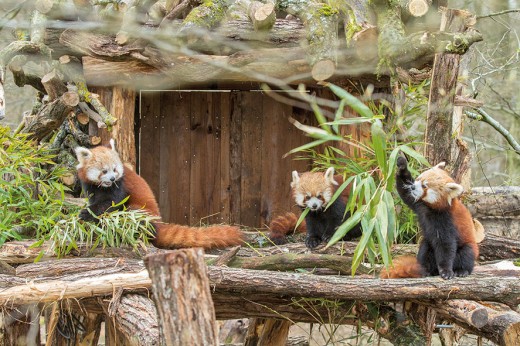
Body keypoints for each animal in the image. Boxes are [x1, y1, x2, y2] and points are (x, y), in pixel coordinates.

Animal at [74, 139, 244, 250]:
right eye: (104, 171)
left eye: (115, 169)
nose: (112, 178)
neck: (102, 187)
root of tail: (158, 223)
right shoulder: (91, 187)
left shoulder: (120, 187)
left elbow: (111, 202)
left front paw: (86, 213)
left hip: (140, 212)